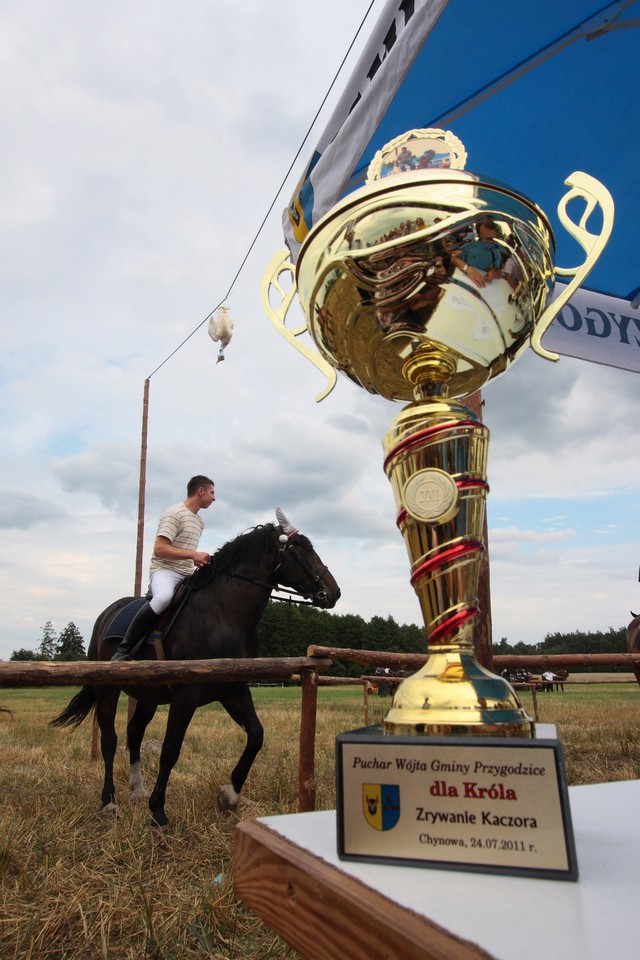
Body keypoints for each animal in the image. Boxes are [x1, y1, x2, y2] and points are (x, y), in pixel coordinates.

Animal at [50, 510, 340, 824]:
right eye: (302, 549)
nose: (335, 592)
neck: (222, 612)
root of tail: (107, 614)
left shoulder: (234, 689)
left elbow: (256, 736)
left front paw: (229, 795)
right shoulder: (186, 694)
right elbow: (170, 749)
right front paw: (158, 811)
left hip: (148, 697)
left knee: (134, 733)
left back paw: (137, 789)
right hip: (107, 689)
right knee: (109, 740)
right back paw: (109, 801)